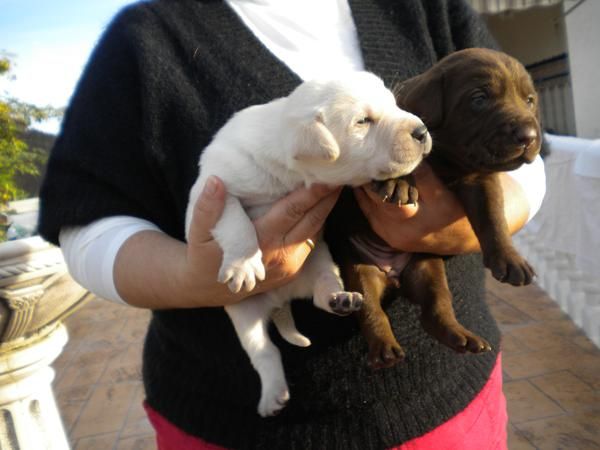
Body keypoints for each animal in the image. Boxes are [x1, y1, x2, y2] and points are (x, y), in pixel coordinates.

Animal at [184, 71, 432, 418]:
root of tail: (281, 301)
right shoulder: (211, 192)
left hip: (322, 262)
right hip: (242, 311)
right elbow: (235, 219)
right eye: (363, 121)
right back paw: (272, 395)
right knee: (264, 351)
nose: (422, 131)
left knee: (320, 291)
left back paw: (341, 299)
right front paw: (244, 263)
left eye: (393, 104)